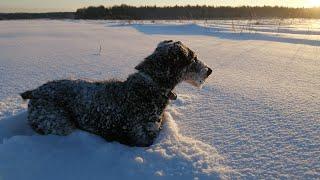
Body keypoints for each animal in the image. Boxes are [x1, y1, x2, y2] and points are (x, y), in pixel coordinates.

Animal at [21, 40, 212, 147]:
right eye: (194, 58)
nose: (209, 70)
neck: (152, 84)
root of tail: (35, 92)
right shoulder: (142, 138)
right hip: (59, 123)